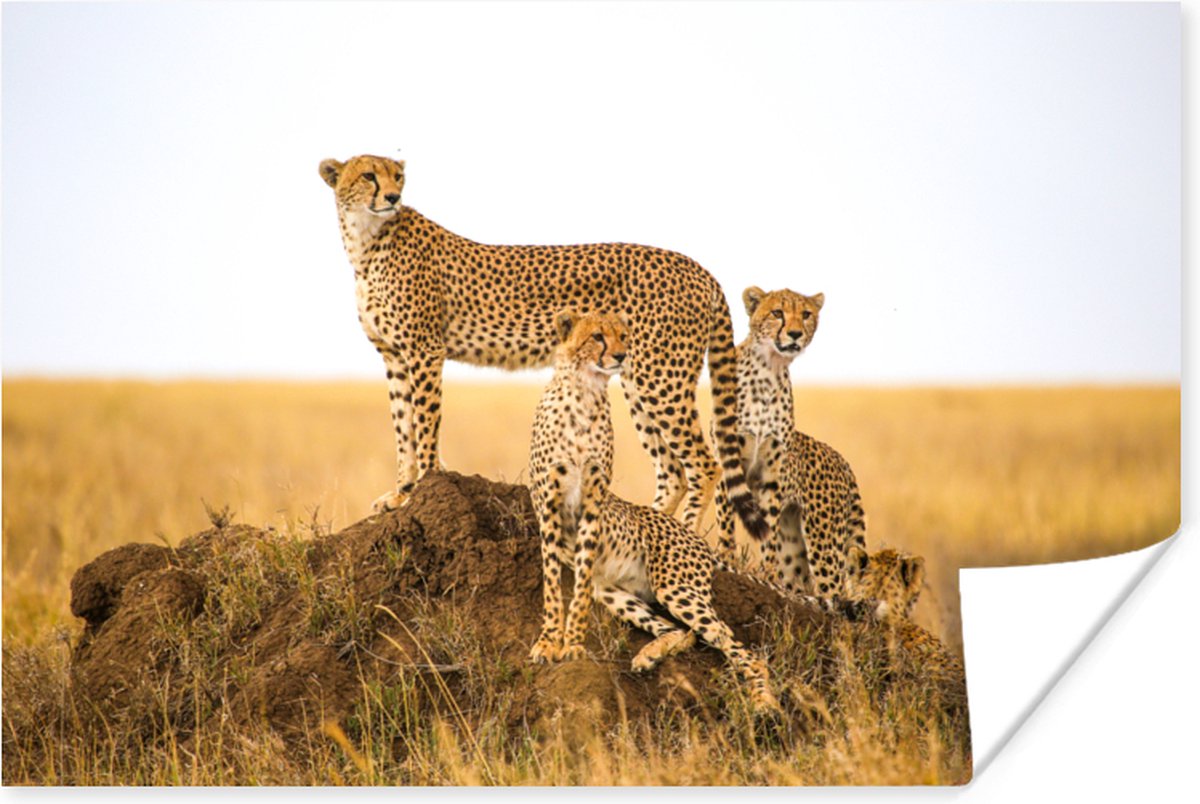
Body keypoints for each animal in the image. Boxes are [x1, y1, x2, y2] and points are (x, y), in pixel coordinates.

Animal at [318, 155, 765, 539]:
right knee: (672, 470)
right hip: (637, 377)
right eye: (369, 175)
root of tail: (698, 268)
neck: (366, 240)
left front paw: (422, 487)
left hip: (660, 378)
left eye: (398, 176)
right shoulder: (394, 355)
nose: (393, 197)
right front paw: (400, 492)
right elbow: (402, 428)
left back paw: (683, 535)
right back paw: (646, 531)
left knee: (705, 464)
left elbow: (424, 424)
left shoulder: (424, 350)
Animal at [526, 309, 779, 712]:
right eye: (597, 336)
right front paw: (549, 642)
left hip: (676, 588)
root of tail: (693, 536)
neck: (584, 392)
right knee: (684, 632)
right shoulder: (549, 506)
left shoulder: (593, 504)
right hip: (615, 593)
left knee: (737, 646)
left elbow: (577, 591)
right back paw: (649, 655)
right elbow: (553, 584)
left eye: (623, 335)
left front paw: (574, 645)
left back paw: (764, 701)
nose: (621, 355)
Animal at [714, 287, 867, 598]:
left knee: (832, 591)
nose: (795, 333)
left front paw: (766, 573)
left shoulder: (772, 475)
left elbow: (768, 531)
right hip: (800, 545)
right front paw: (725, 558)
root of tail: (843, 460)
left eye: (806, 314)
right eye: (777, 312)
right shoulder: (728, 459)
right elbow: (725, 520)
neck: (768, 371)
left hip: (823, 542)